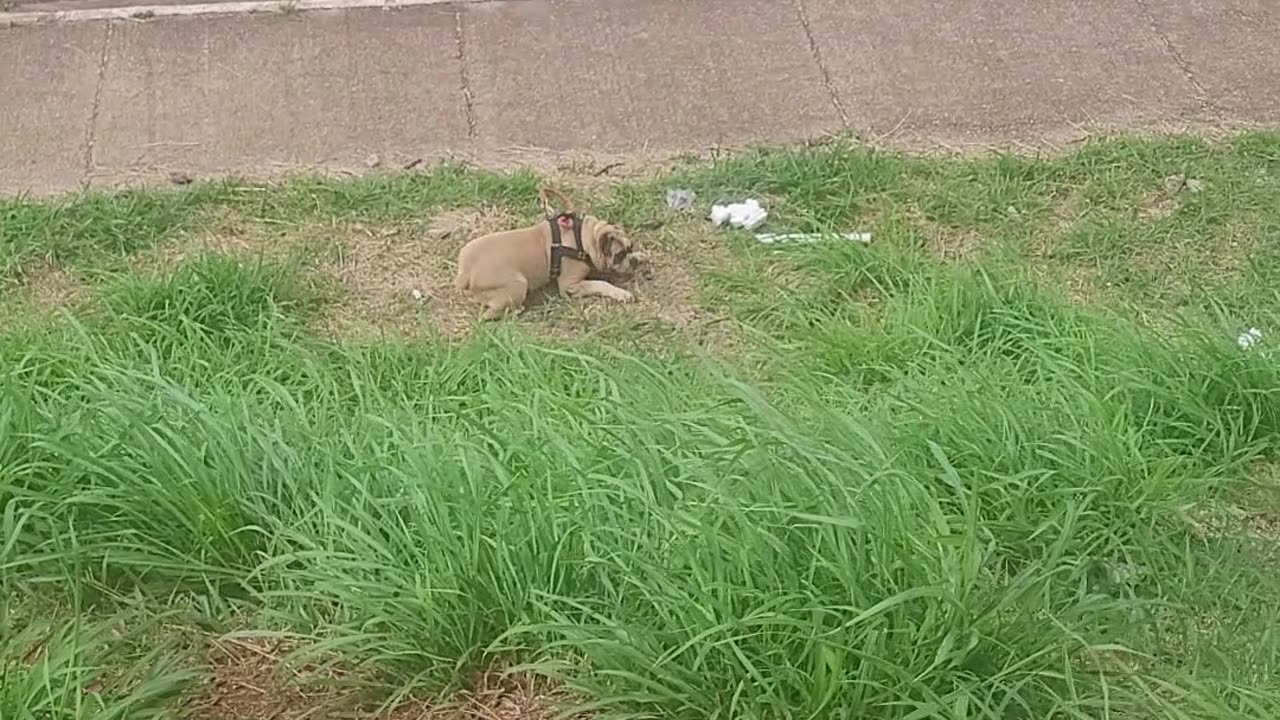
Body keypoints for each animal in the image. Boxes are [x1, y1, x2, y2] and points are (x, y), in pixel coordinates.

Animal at [458, 212, 640, 319]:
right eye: (619, 255)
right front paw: (621, 293)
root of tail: (466, 274)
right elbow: (600, 283)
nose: (631, 261)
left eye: (630, 247)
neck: (583, 238)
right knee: (493, 312)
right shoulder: (570, 285)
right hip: (519, 284)